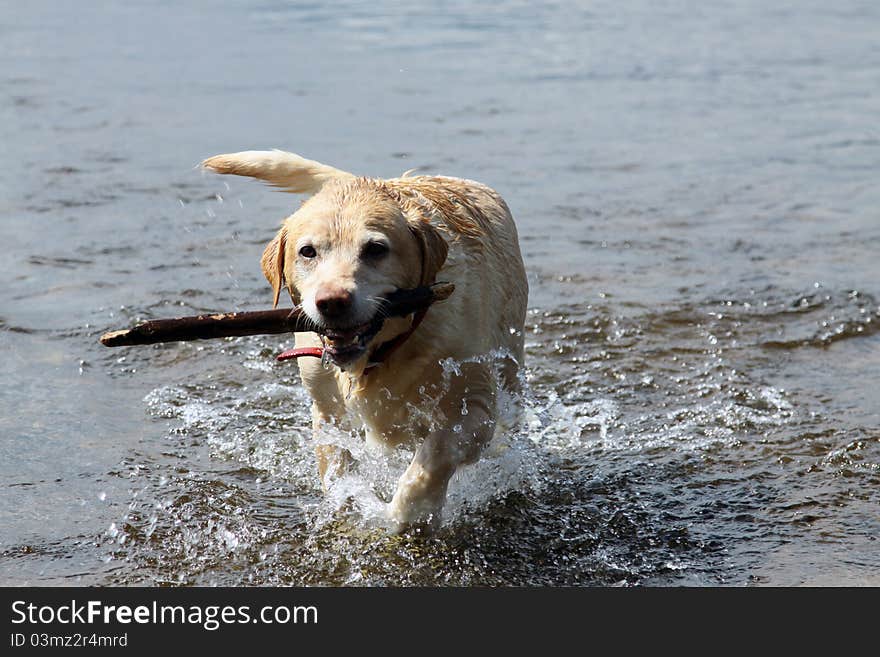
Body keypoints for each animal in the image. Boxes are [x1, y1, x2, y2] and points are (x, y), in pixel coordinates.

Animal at [203, 150, 524, 532]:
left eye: (375, 249)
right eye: (307, 251)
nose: (332, 302)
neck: (381, 354)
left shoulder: (473, 406)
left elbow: (434, 457)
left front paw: (409, 513)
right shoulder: (326, 408)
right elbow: (336, 462)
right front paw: (350, 498)